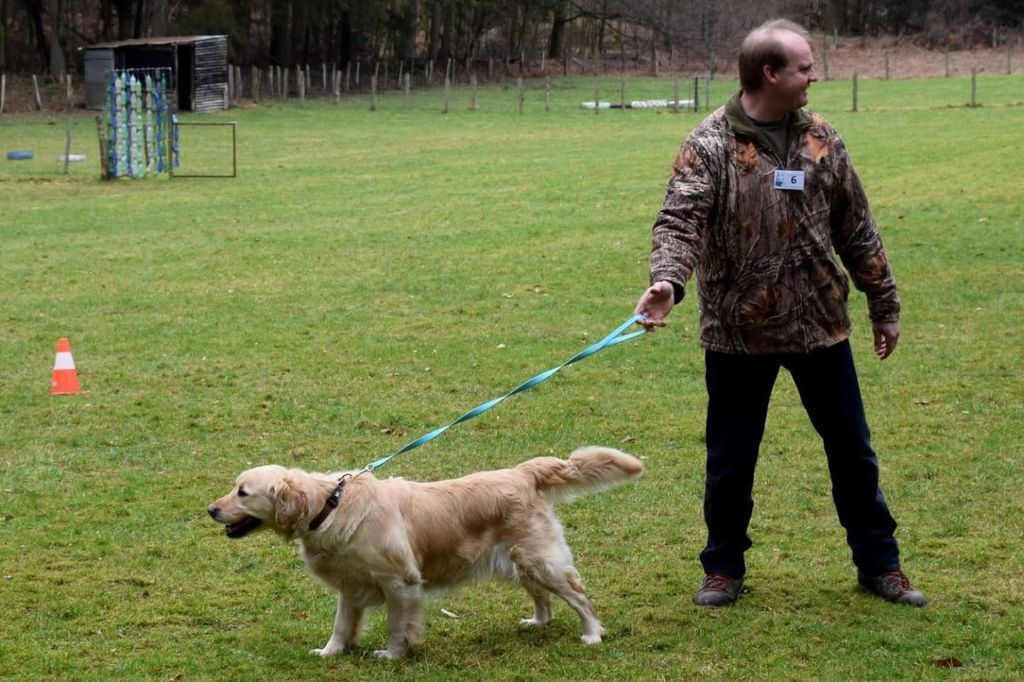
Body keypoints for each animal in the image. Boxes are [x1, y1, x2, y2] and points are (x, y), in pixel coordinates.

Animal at [207, 446, 643, 659]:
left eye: (242, 492)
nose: (210, 509)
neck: (328, 505)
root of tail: (522, 473)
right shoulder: (351, 586)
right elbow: (341, 625)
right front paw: (330, 652)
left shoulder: (400, 583)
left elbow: (397, 626)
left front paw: (392, 655)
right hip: (520, 562)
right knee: (544, 599)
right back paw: (538, 622)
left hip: (541, 560)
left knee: (579, 595)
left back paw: (592, 634)